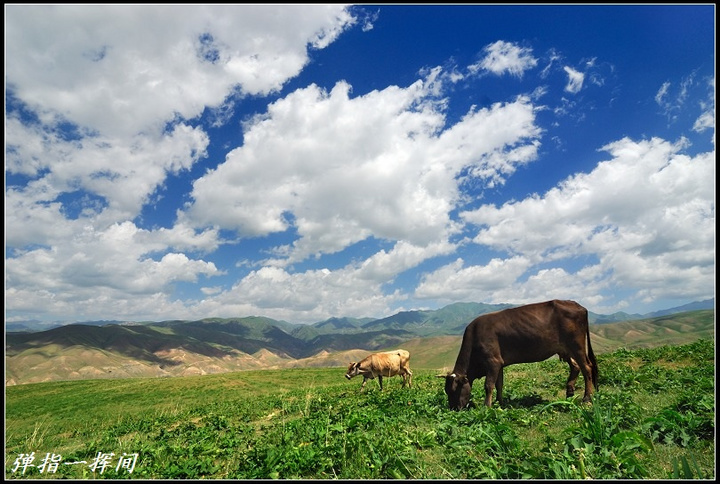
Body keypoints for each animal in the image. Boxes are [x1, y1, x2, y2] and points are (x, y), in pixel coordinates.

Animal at [438, 300, 596, 410]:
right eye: (446, 391)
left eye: (454, 391)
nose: (454, 409)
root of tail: (579, 306)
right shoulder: (499, 363)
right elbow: (499, 384)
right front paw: (499, 402)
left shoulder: (493, 361)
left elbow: (488, 385)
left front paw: (486, 406)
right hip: (564, 349)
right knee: (575, 366)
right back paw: (569, 392)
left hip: (577, 345)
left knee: (587, 367)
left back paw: (587, 399)